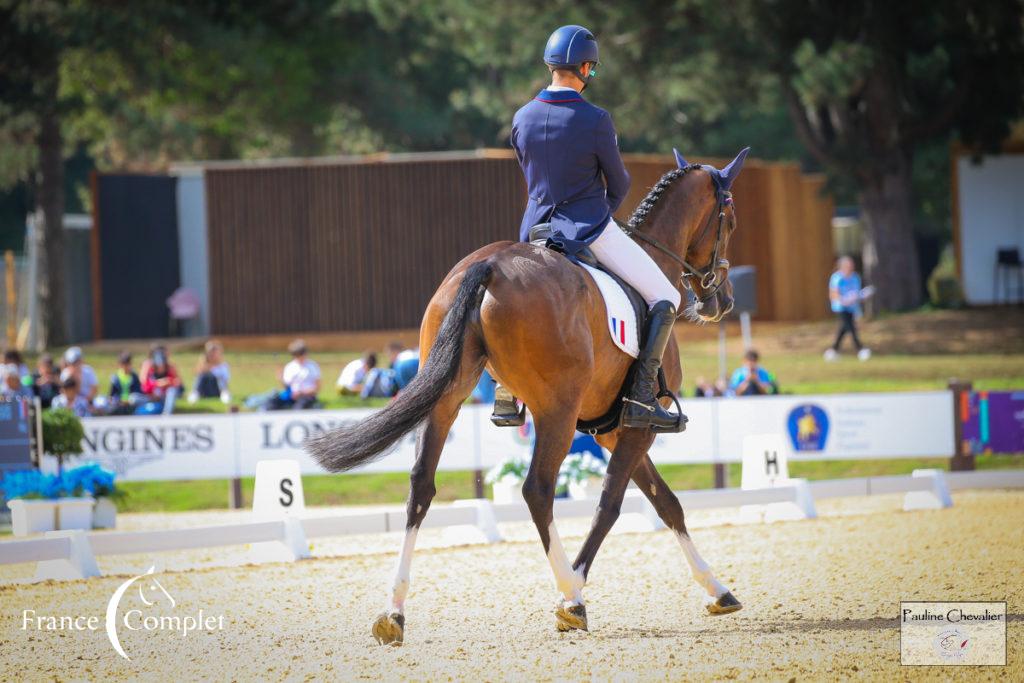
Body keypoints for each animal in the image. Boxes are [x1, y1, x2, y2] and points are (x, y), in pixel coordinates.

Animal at [307, 147, 749, 643]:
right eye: (730, 221)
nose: (721, 303)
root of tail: (490, 264)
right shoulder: (638, 427)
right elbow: (612, 505)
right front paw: (573, 587)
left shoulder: (611, 430)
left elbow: (667, 503)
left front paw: (719, 591)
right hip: (557, 411)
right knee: (538, 490)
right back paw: (572, 598)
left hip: (447, 399)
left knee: (420, 485)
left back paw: (394, 613)